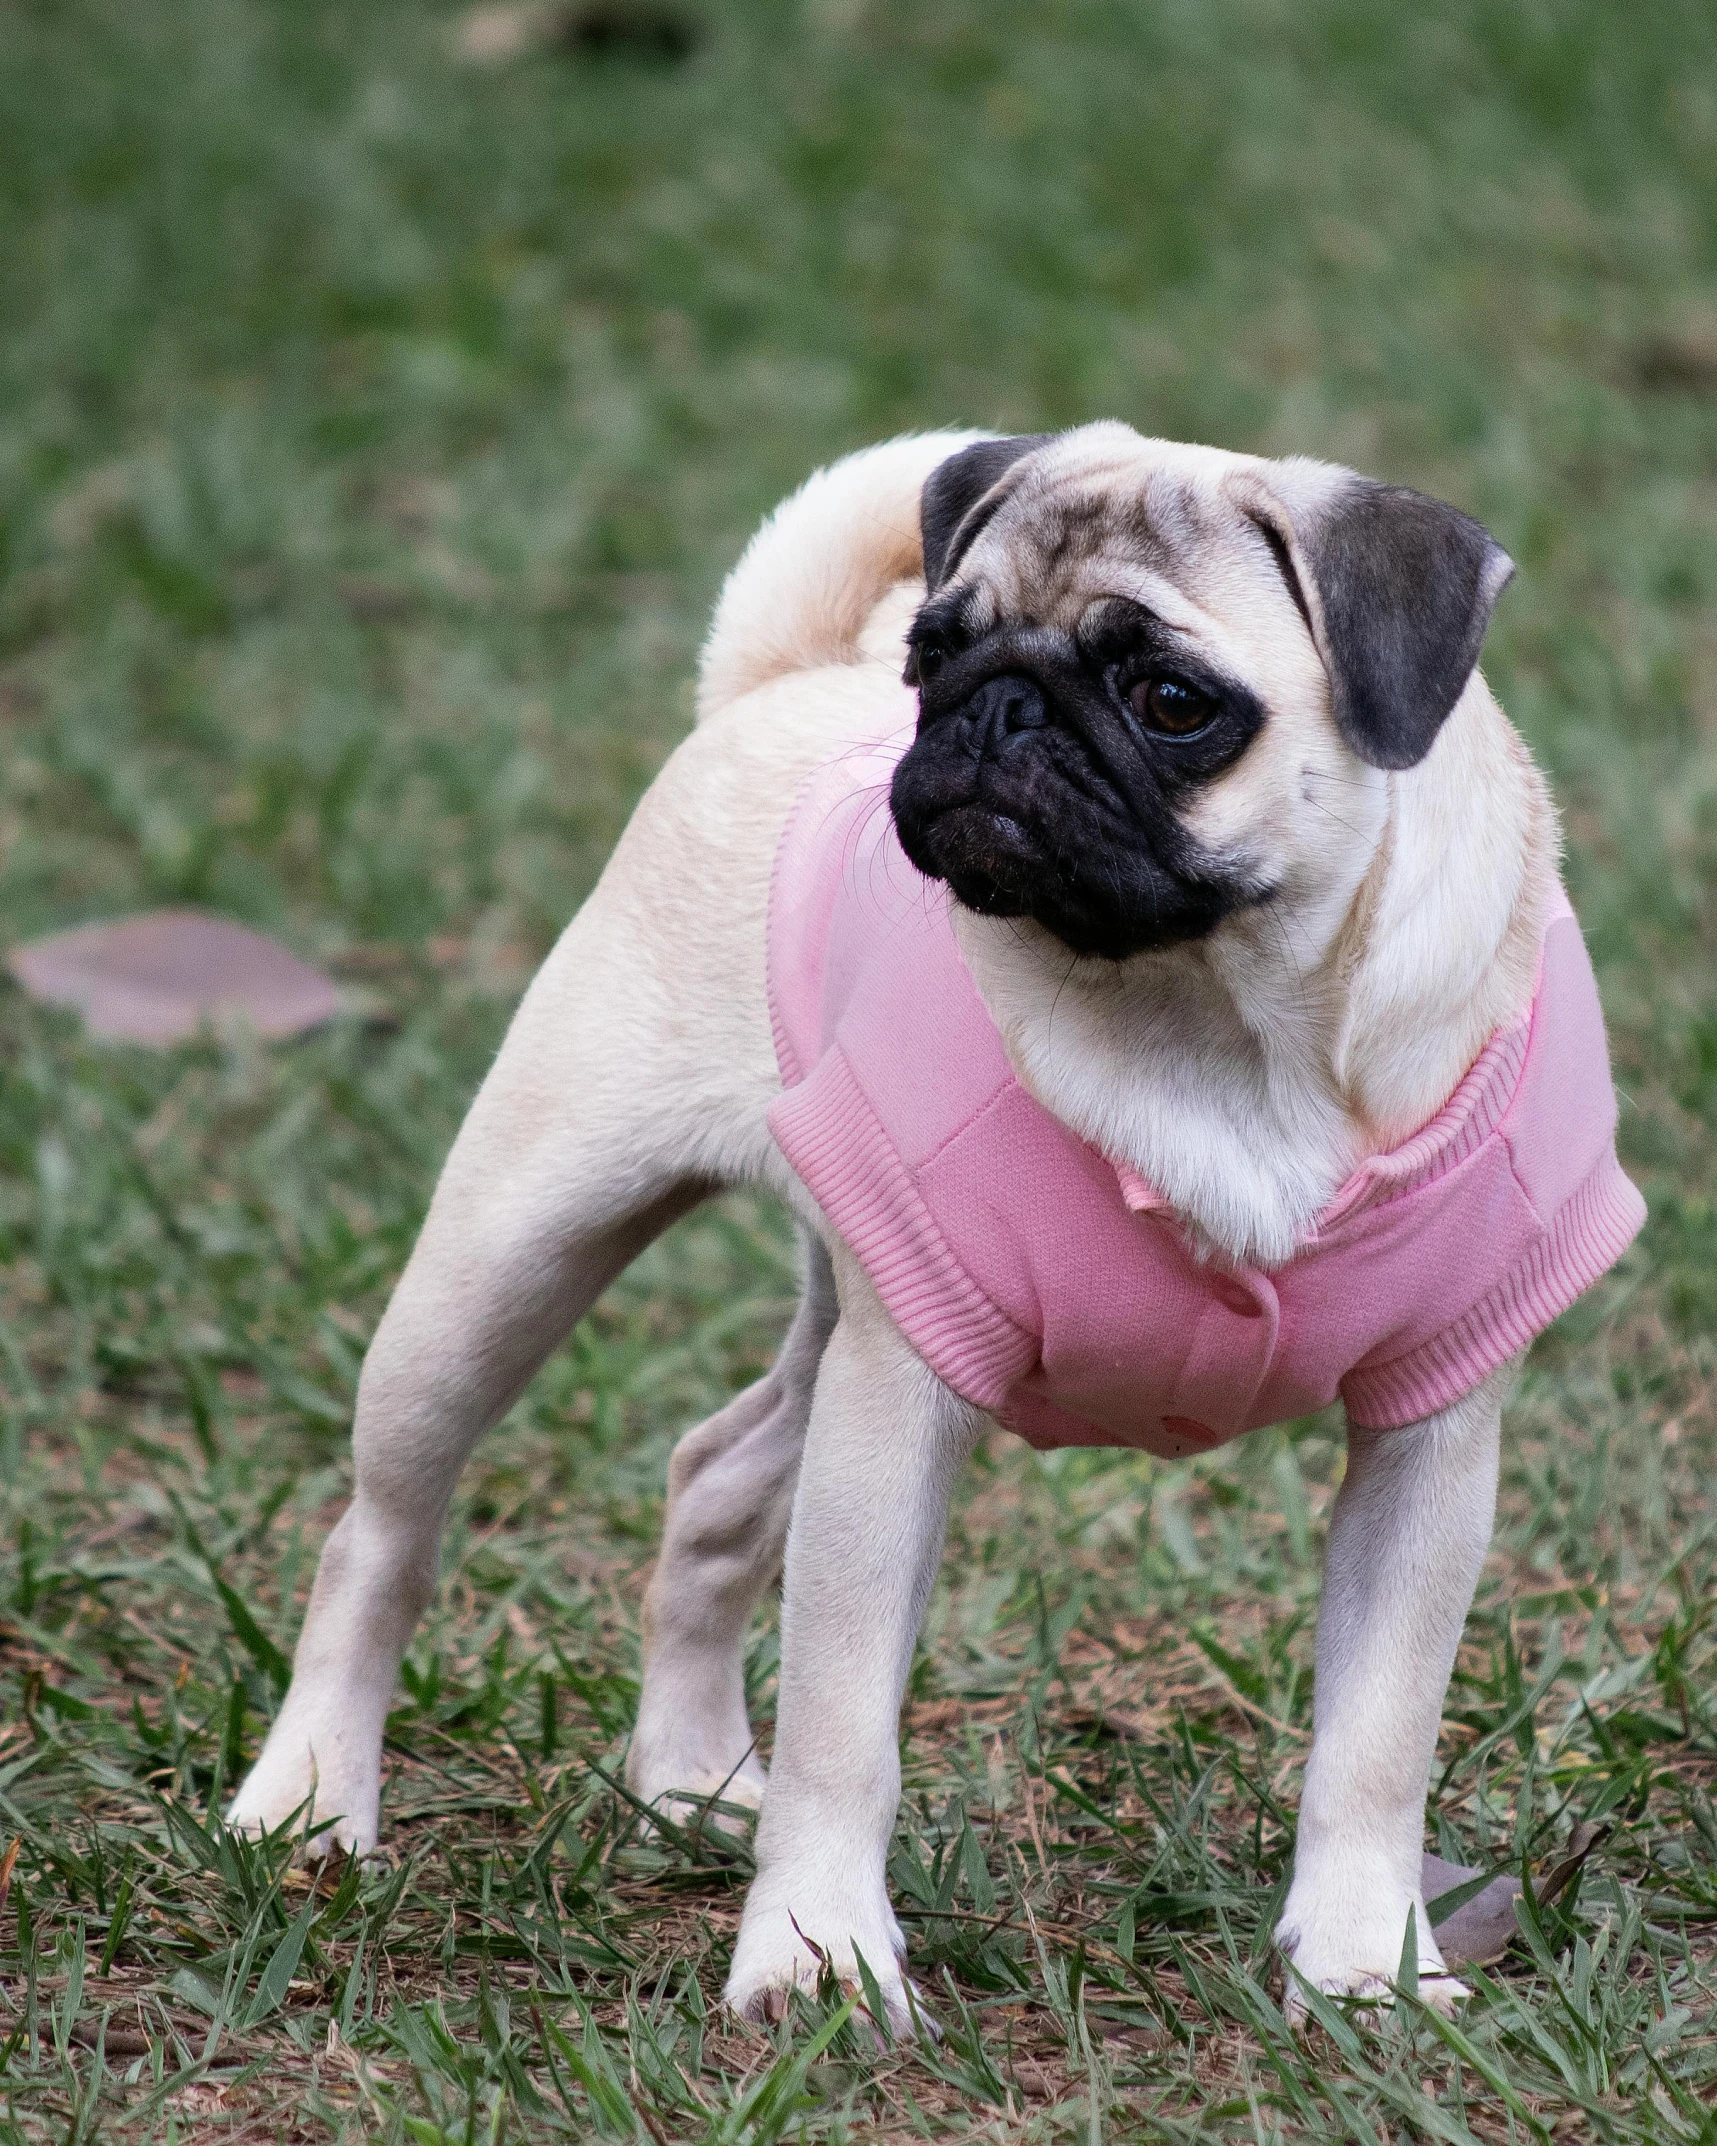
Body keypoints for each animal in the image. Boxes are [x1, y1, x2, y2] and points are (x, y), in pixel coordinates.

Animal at [227, 431, 1639, 2025]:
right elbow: (845, 1718)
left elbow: (1376, 1740)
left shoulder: (1427, 1438)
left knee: (716, 1477)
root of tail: (774, 683)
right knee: (382, 1537)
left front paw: (1358, 1962)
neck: (1215, 1018)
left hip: (831, 1319)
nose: (996, 705)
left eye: (1171, 701)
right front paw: (818, 1952)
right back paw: (310, 1796)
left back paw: (691, 1779)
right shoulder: (898, 1406)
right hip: (511, 1260)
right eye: (934, 653)